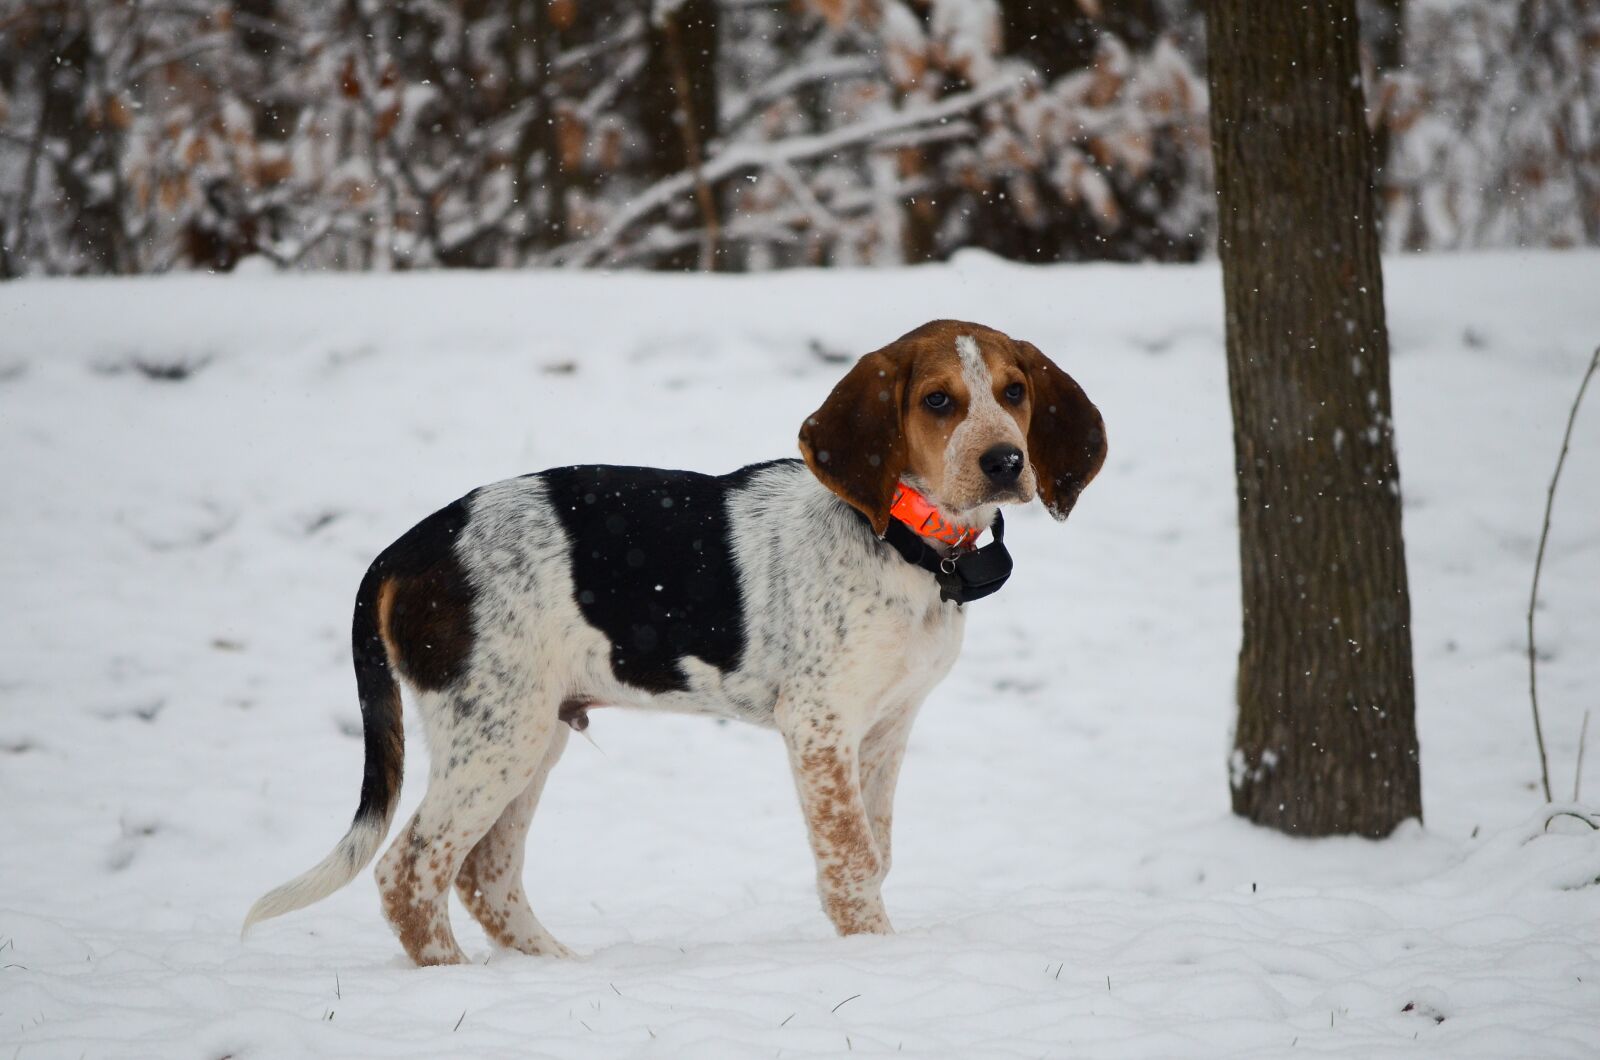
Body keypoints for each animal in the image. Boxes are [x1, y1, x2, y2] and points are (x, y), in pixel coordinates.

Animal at [243, 320, 1107, 967]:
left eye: (1014, 393)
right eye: (937, 401)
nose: (1006, 461)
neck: (905, 539)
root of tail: (412, 546)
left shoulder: (887, 727)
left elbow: (877, 849)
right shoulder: (819, 727)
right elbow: (852, 862)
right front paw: (875, 958)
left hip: (533, 730)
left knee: (484, 874)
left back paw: (553, 970)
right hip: (495, 732)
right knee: (411, 869)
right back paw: (456, 980)